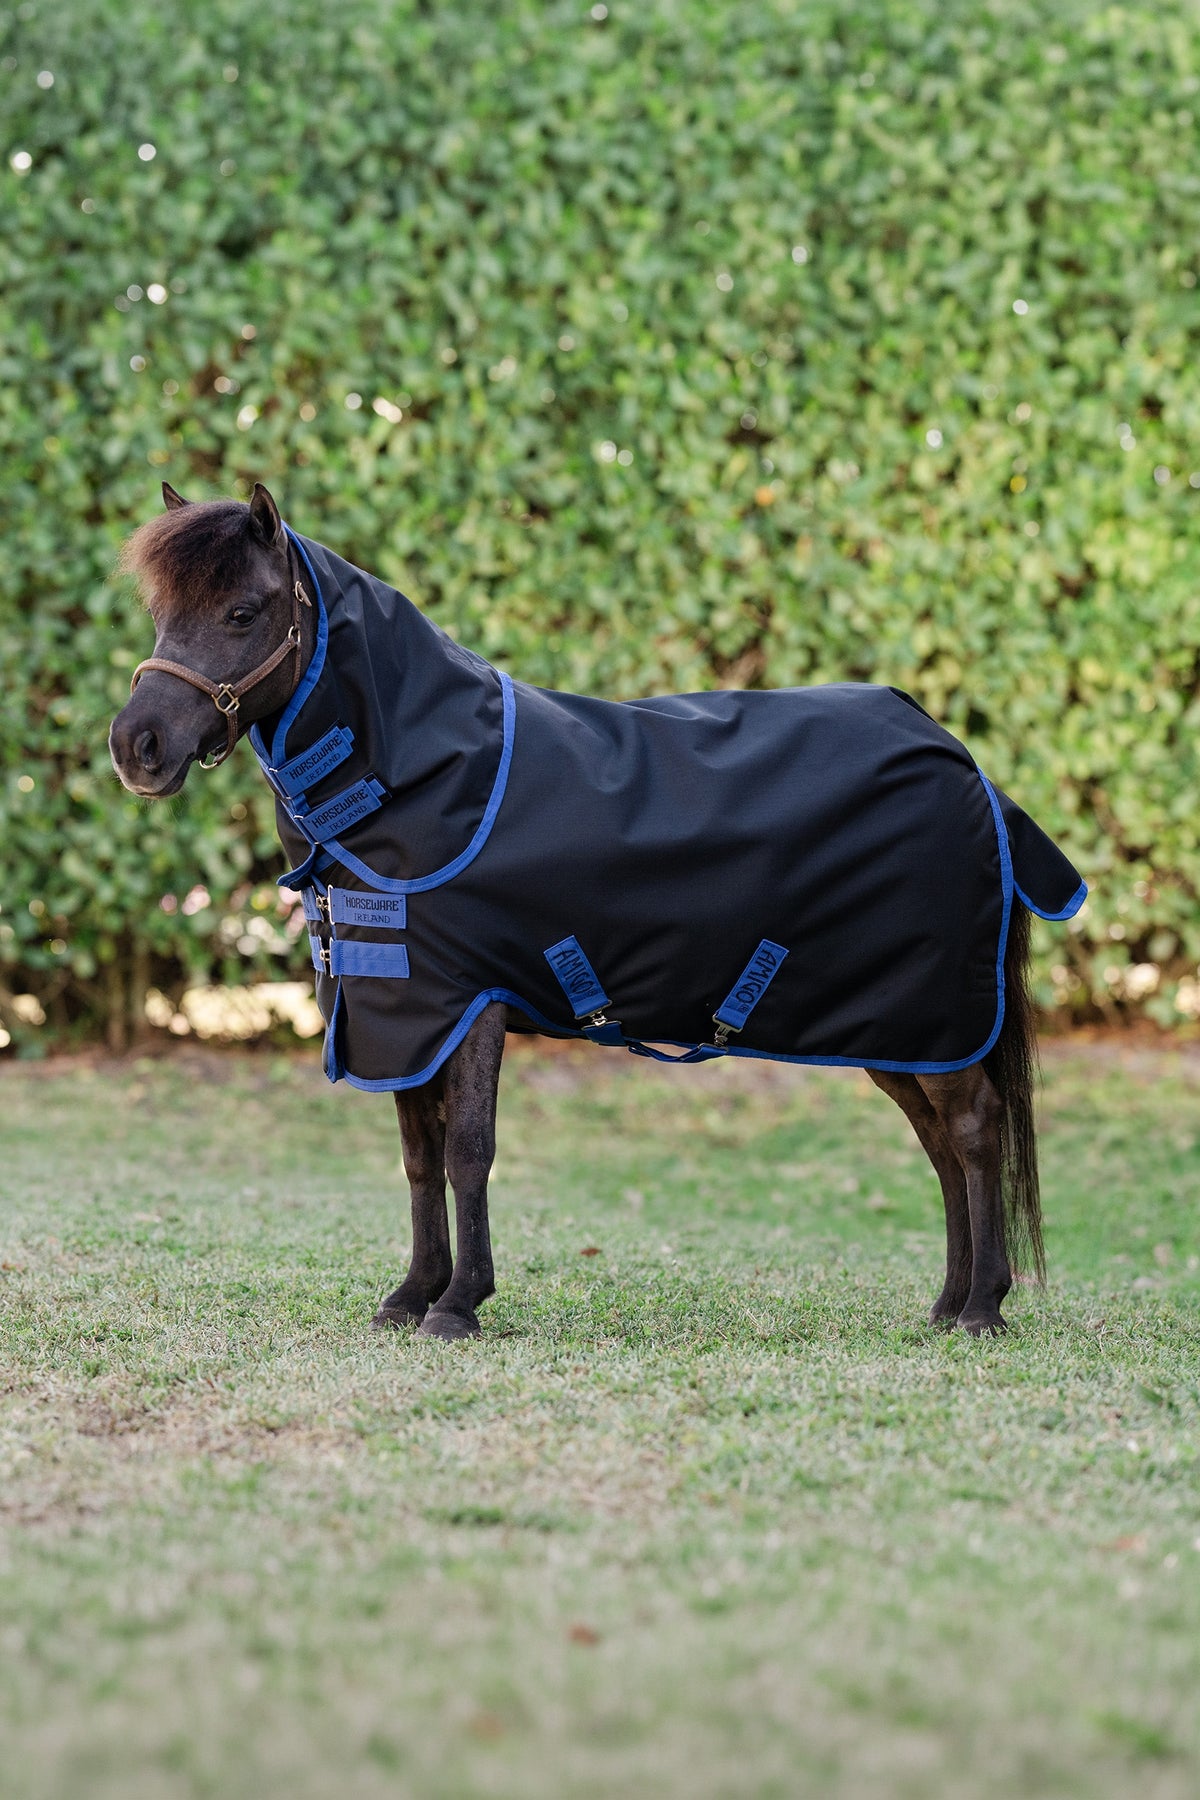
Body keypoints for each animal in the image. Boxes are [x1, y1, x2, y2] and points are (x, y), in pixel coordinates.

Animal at [109, 482, 1086, 1340]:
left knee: (973, 1130)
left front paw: (458, 1305)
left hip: (932, 1015)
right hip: (897, 1029)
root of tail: (967, 767)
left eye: (244, 612)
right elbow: (420, 1155)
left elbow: (468, 1149)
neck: (428, 777)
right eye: (161, 614)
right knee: (939, 1142)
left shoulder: (469, 1003)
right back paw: (947, 1303)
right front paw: (410, 1295)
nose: (137, 747)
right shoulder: (404, 1010)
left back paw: (983, 1309)